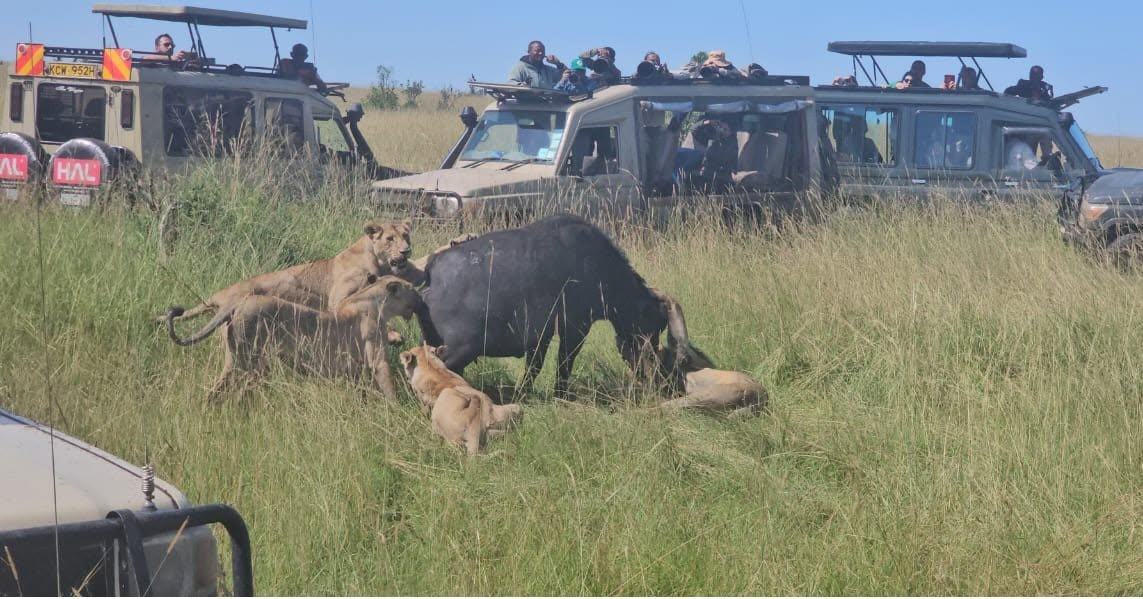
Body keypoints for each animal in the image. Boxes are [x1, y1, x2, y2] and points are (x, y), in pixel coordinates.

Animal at [166, 275, 424, 402]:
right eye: (411, 288)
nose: (421, 297)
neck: (375, 300)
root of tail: (235, 304)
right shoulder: (377, 358)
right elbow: (387, 384)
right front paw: (398, 410)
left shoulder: (356, 369)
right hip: (249, 362)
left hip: (242, 362)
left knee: (217, 392)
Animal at [417, 214, 691, 395]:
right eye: (655, 326)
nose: (654, 371)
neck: (600, 267)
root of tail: (432, 270)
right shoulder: (575, 328)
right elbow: (563, 365)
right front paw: (561, 394)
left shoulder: (541, 337)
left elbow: (533, 368)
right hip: (461, 348)